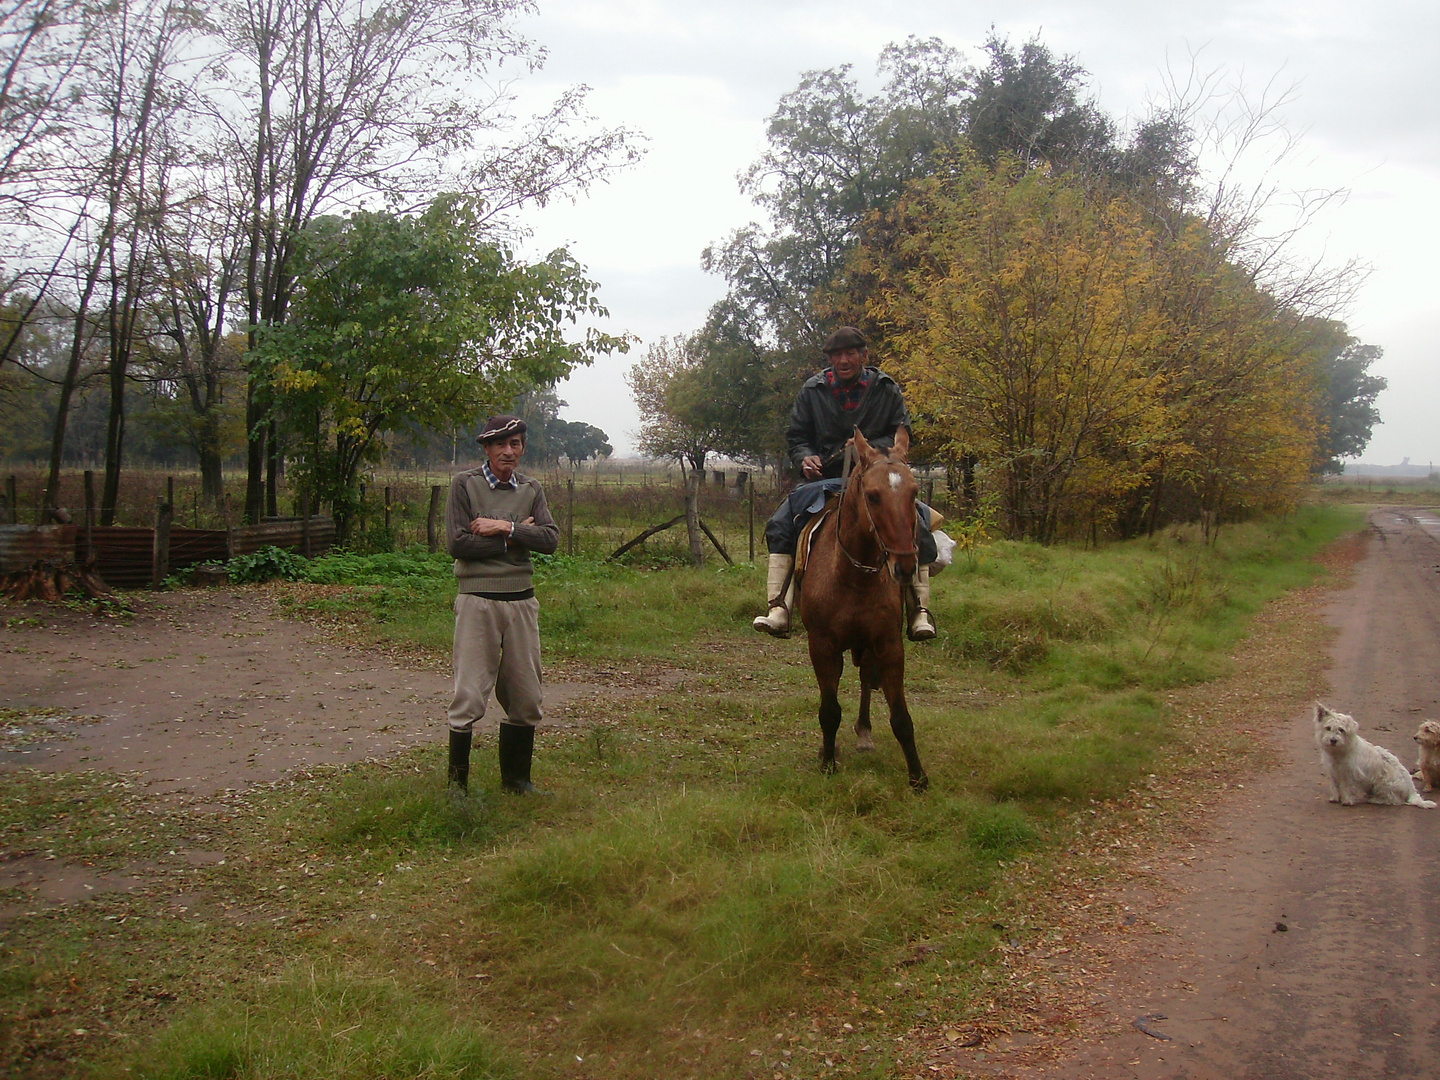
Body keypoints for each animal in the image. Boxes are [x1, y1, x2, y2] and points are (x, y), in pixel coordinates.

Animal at [794, 426, 927, 789]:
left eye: (913, 492)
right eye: (873, 496)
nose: (905, 567)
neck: (853, 575)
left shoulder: (888, 644)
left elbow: (901, 717)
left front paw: (918, 777)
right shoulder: (822, 646)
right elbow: (829, 710)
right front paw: (827, 762)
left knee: (867, 677)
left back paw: (864, 733)